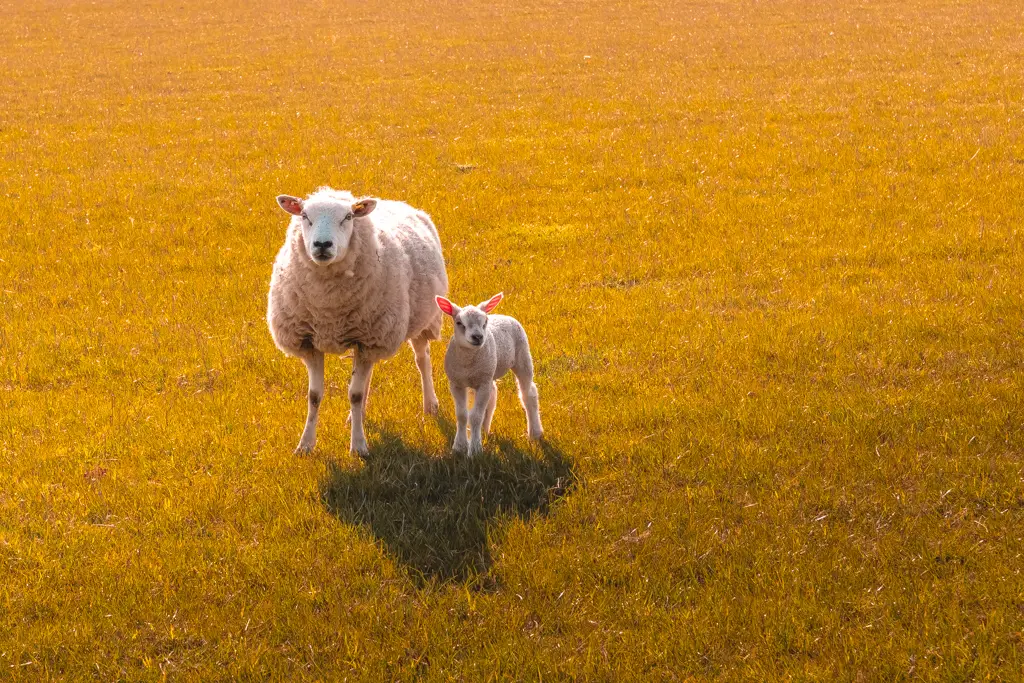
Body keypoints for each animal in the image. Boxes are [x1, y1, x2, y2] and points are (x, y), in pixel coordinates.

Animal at [268, 187, 448, 456]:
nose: (322, 244)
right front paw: (305, 445)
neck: (328, 309)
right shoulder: (310, 341)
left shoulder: (370, 339)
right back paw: (356, 416)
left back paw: (430, 405)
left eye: (348, 217)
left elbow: (354, 394)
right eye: (304, 216)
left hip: (421, 318)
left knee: (422, 359)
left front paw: (359, 447)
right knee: (368, 376)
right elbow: (314, 395)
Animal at [434, 292, 544, 456]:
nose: (478, 337)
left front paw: (475, 449)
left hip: (522, 356)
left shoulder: (482, 382)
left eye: (485, 321)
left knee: (528, 394)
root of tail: (503, 315)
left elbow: (475, 416)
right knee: (493, 394)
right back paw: (484, 430)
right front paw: (459, 446)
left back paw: (535, 433)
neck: (468, 363)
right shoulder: (457, 383)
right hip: (489, 370)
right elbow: (462, 415)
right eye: (459, 322)